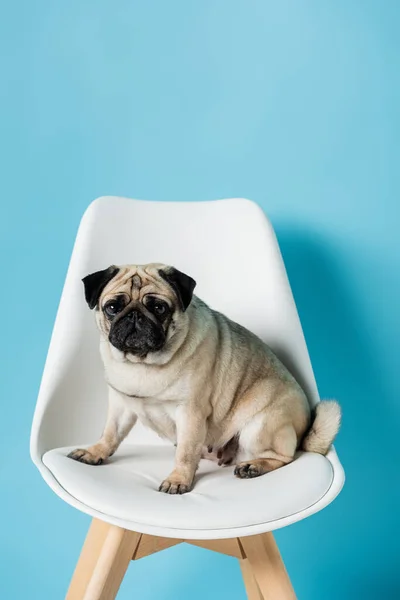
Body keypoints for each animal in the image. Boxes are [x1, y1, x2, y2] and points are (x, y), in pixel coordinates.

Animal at [68, 264, 340, 494]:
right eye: (113, 307)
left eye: (159, 308)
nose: (134, 316)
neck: (143, 363)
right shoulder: (121, 404)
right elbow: (110, 433)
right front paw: (96, 452)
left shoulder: (190, 413)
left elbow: (185, 453)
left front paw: (178, 480)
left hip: (260, 425)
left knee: (284, 457)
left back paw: (254, 466)